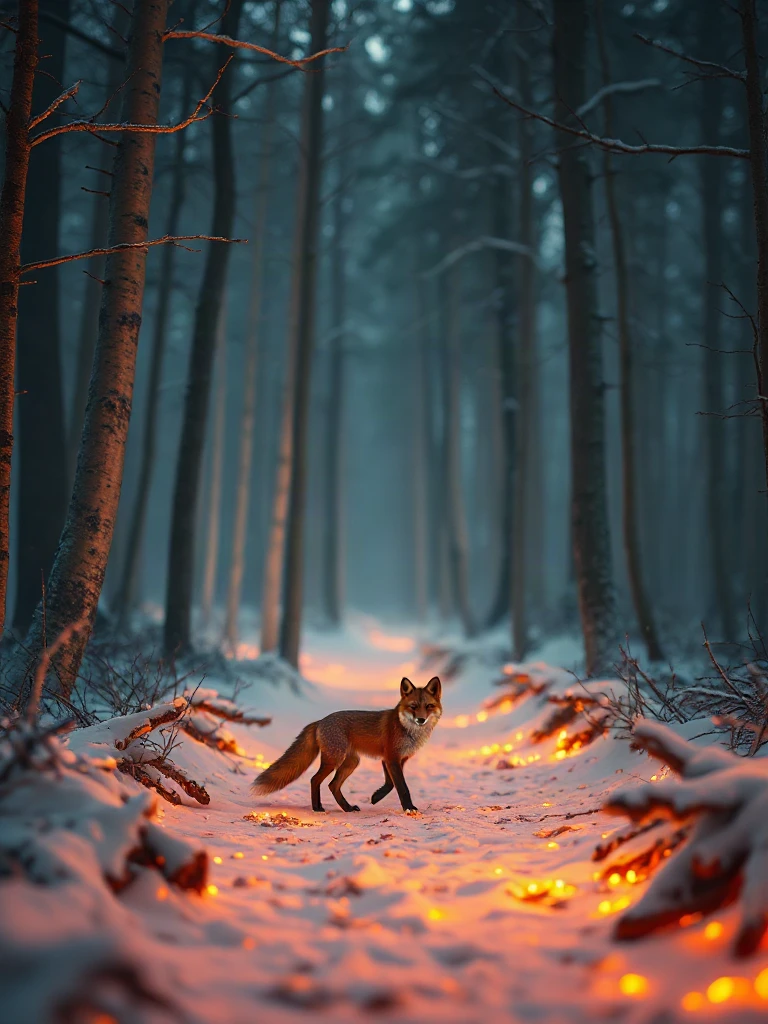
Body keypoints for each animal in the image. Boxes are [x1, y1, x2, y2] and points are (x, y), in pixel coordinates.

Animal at [252, 676, 442, 813]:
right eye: (413, 706)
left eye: (429, 706)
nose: (421, 719)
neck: (407, 730)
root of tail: (320, 721)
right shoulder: (391, 758)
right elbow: (402, 787)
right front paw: (409, 808)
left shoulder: (394, 759)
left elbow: (390, 784)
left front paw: (376, 797)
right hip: (334, 760)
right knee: (315, 779)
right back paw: (317, 808)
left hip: (351, 762)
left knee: (333, 785)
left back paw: (347, 808)